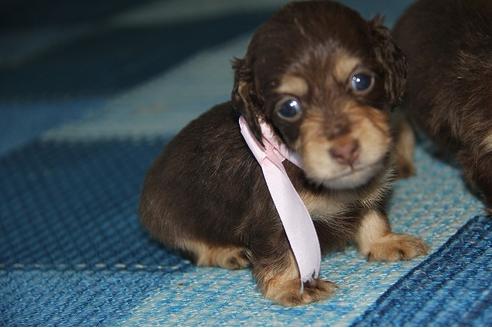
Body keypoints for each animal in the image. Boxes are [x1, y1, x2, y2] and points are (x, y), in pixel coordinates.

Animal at [138, 1, 426, 306]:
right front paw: (291, 286)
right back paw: (226, 252)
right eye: (289, 107)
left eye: (361, 81)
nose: (346, 151)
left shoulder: (367, 194)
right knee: (197, 246)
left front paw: (386, 242)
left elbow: (373, 217)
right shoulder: (272, 220)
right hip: (172, 217)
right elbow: (279, 253)